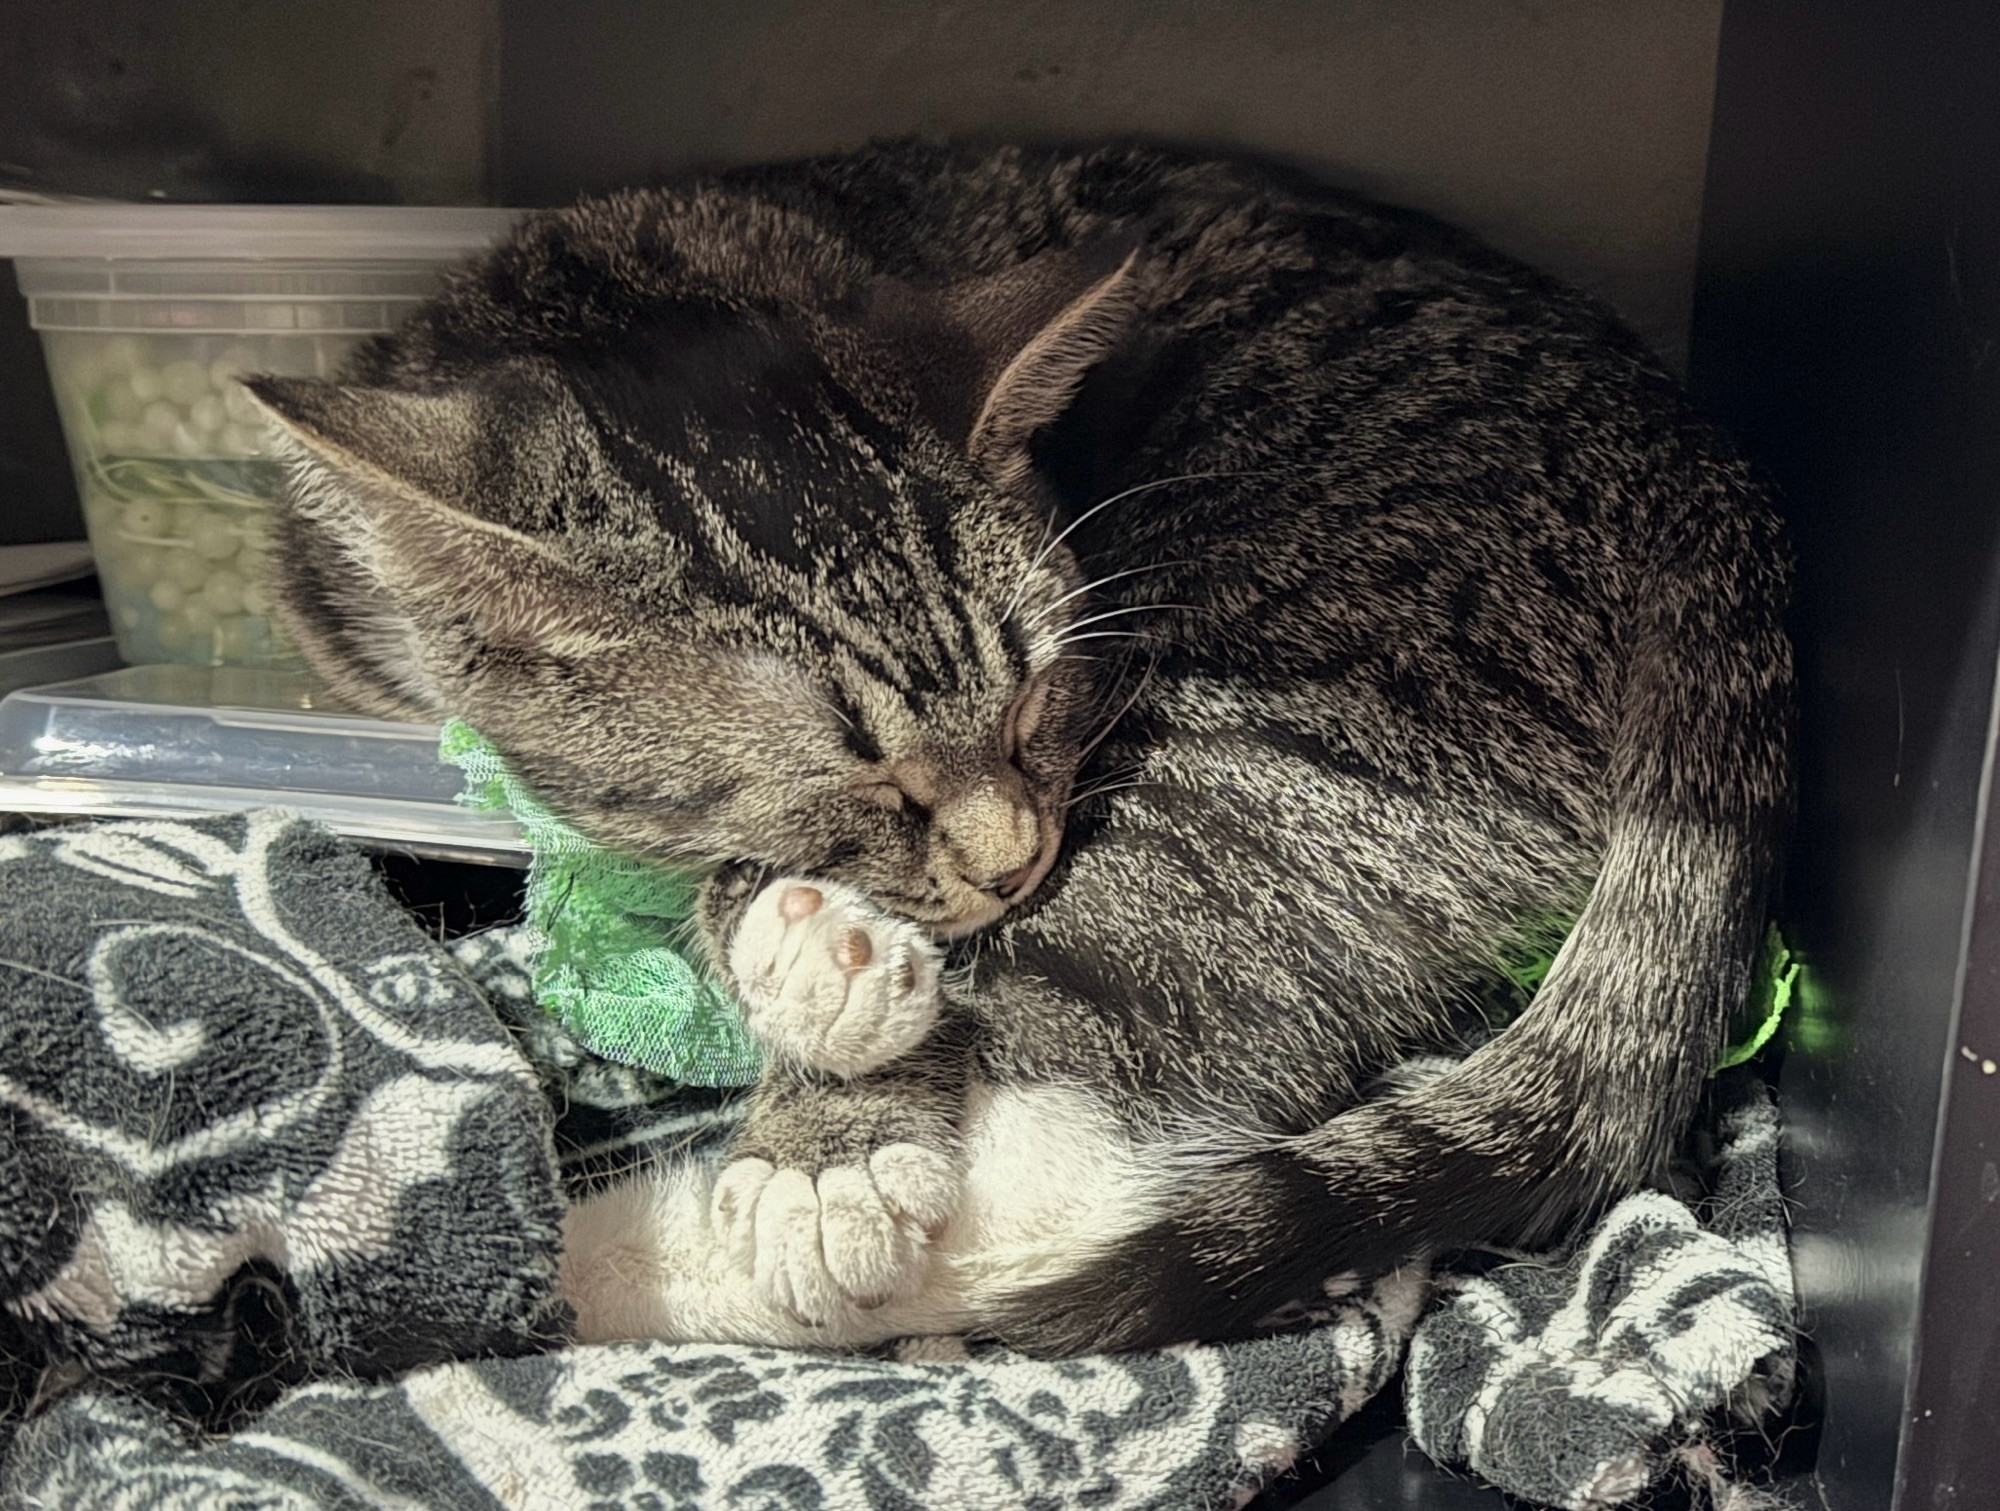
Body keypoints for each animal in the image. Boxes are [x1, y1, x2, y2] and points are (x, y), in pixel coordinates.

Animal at [250, 141, 1800, 1359]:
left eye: (1040, 695)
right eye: (863, 774)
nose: (1013, 860)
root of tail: (1706, 469)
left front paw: (822, 1076)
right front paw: (794, 940)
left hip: (1280, 733)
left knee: (1074, 1137)